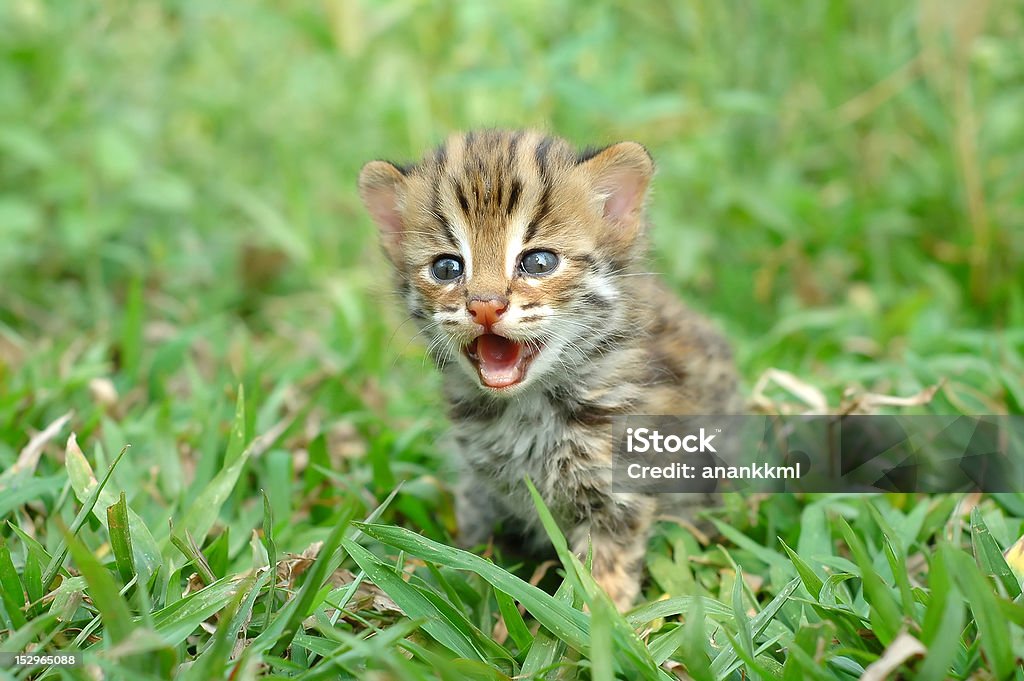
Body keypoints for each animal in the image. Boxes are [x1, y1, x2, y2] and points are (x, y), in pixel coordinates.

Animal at [358, 130, 737, 606]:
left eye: (539, 263)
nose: (485, 306)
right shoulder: (481, 488)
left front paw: (601, 618)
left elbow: (602, 573)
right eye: (446, 267)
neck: (527, 409)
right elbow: (476, 554)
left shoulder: (619, 491)